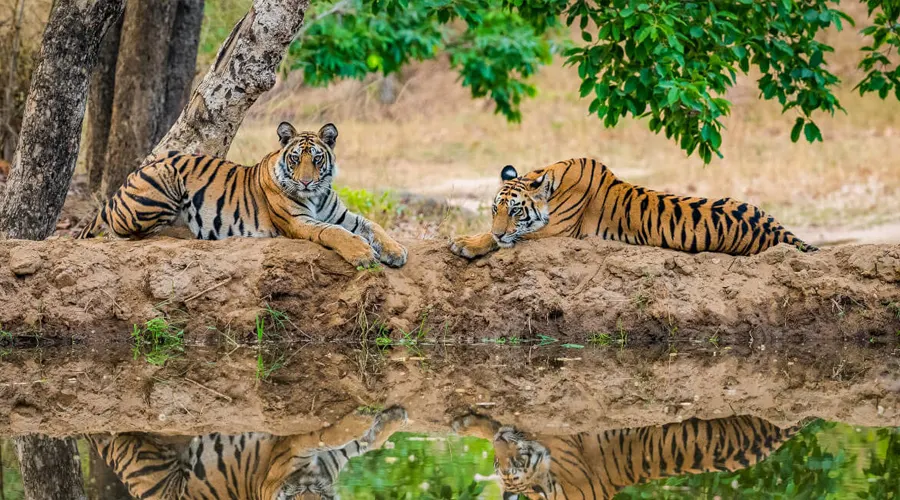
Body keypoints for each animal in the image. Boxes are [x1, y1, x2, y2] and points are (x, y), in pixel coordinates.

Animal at [77, 121, 408, 270]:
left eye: (316, 159)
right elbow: (334, 233)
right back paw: (187, 232)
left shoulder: (341, 214)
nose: (305, 182)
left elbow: (372, 225)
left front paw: (395, 250)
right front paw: (363, 254)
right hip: (164, 179)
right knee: (130, 234)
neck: (316, 195)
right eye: (295, 158)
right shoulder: (299, 222)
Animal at [450, 157, 816, 260]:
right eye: (494, 209)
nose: (501, 230)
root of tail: (776, 228)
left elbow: (500, 239)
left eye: (515, 212)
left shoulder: (556, 231)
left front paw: (464, 243)